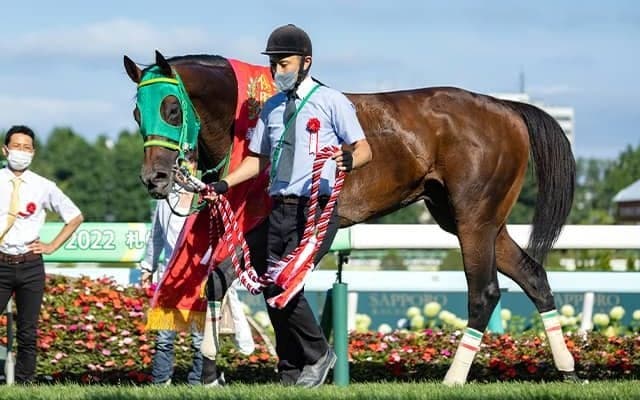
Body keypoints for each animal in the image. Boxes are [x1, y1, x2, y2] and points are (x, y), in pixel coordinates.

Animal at [123, 50, 577, 384]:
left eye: (171, 108)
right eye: (137, 113)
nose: (154, 177)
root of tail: (507, 108)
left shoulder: (291, 227)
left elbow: (277, 290)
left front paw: (314, 364)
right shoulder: (254, 232)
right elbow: (220, 280)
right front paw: (214, 371)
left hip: (474, 222)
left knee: (484, 292)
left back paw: (453, 377)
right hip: (473, 220)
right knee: (533, 276)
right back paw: (568, 369)